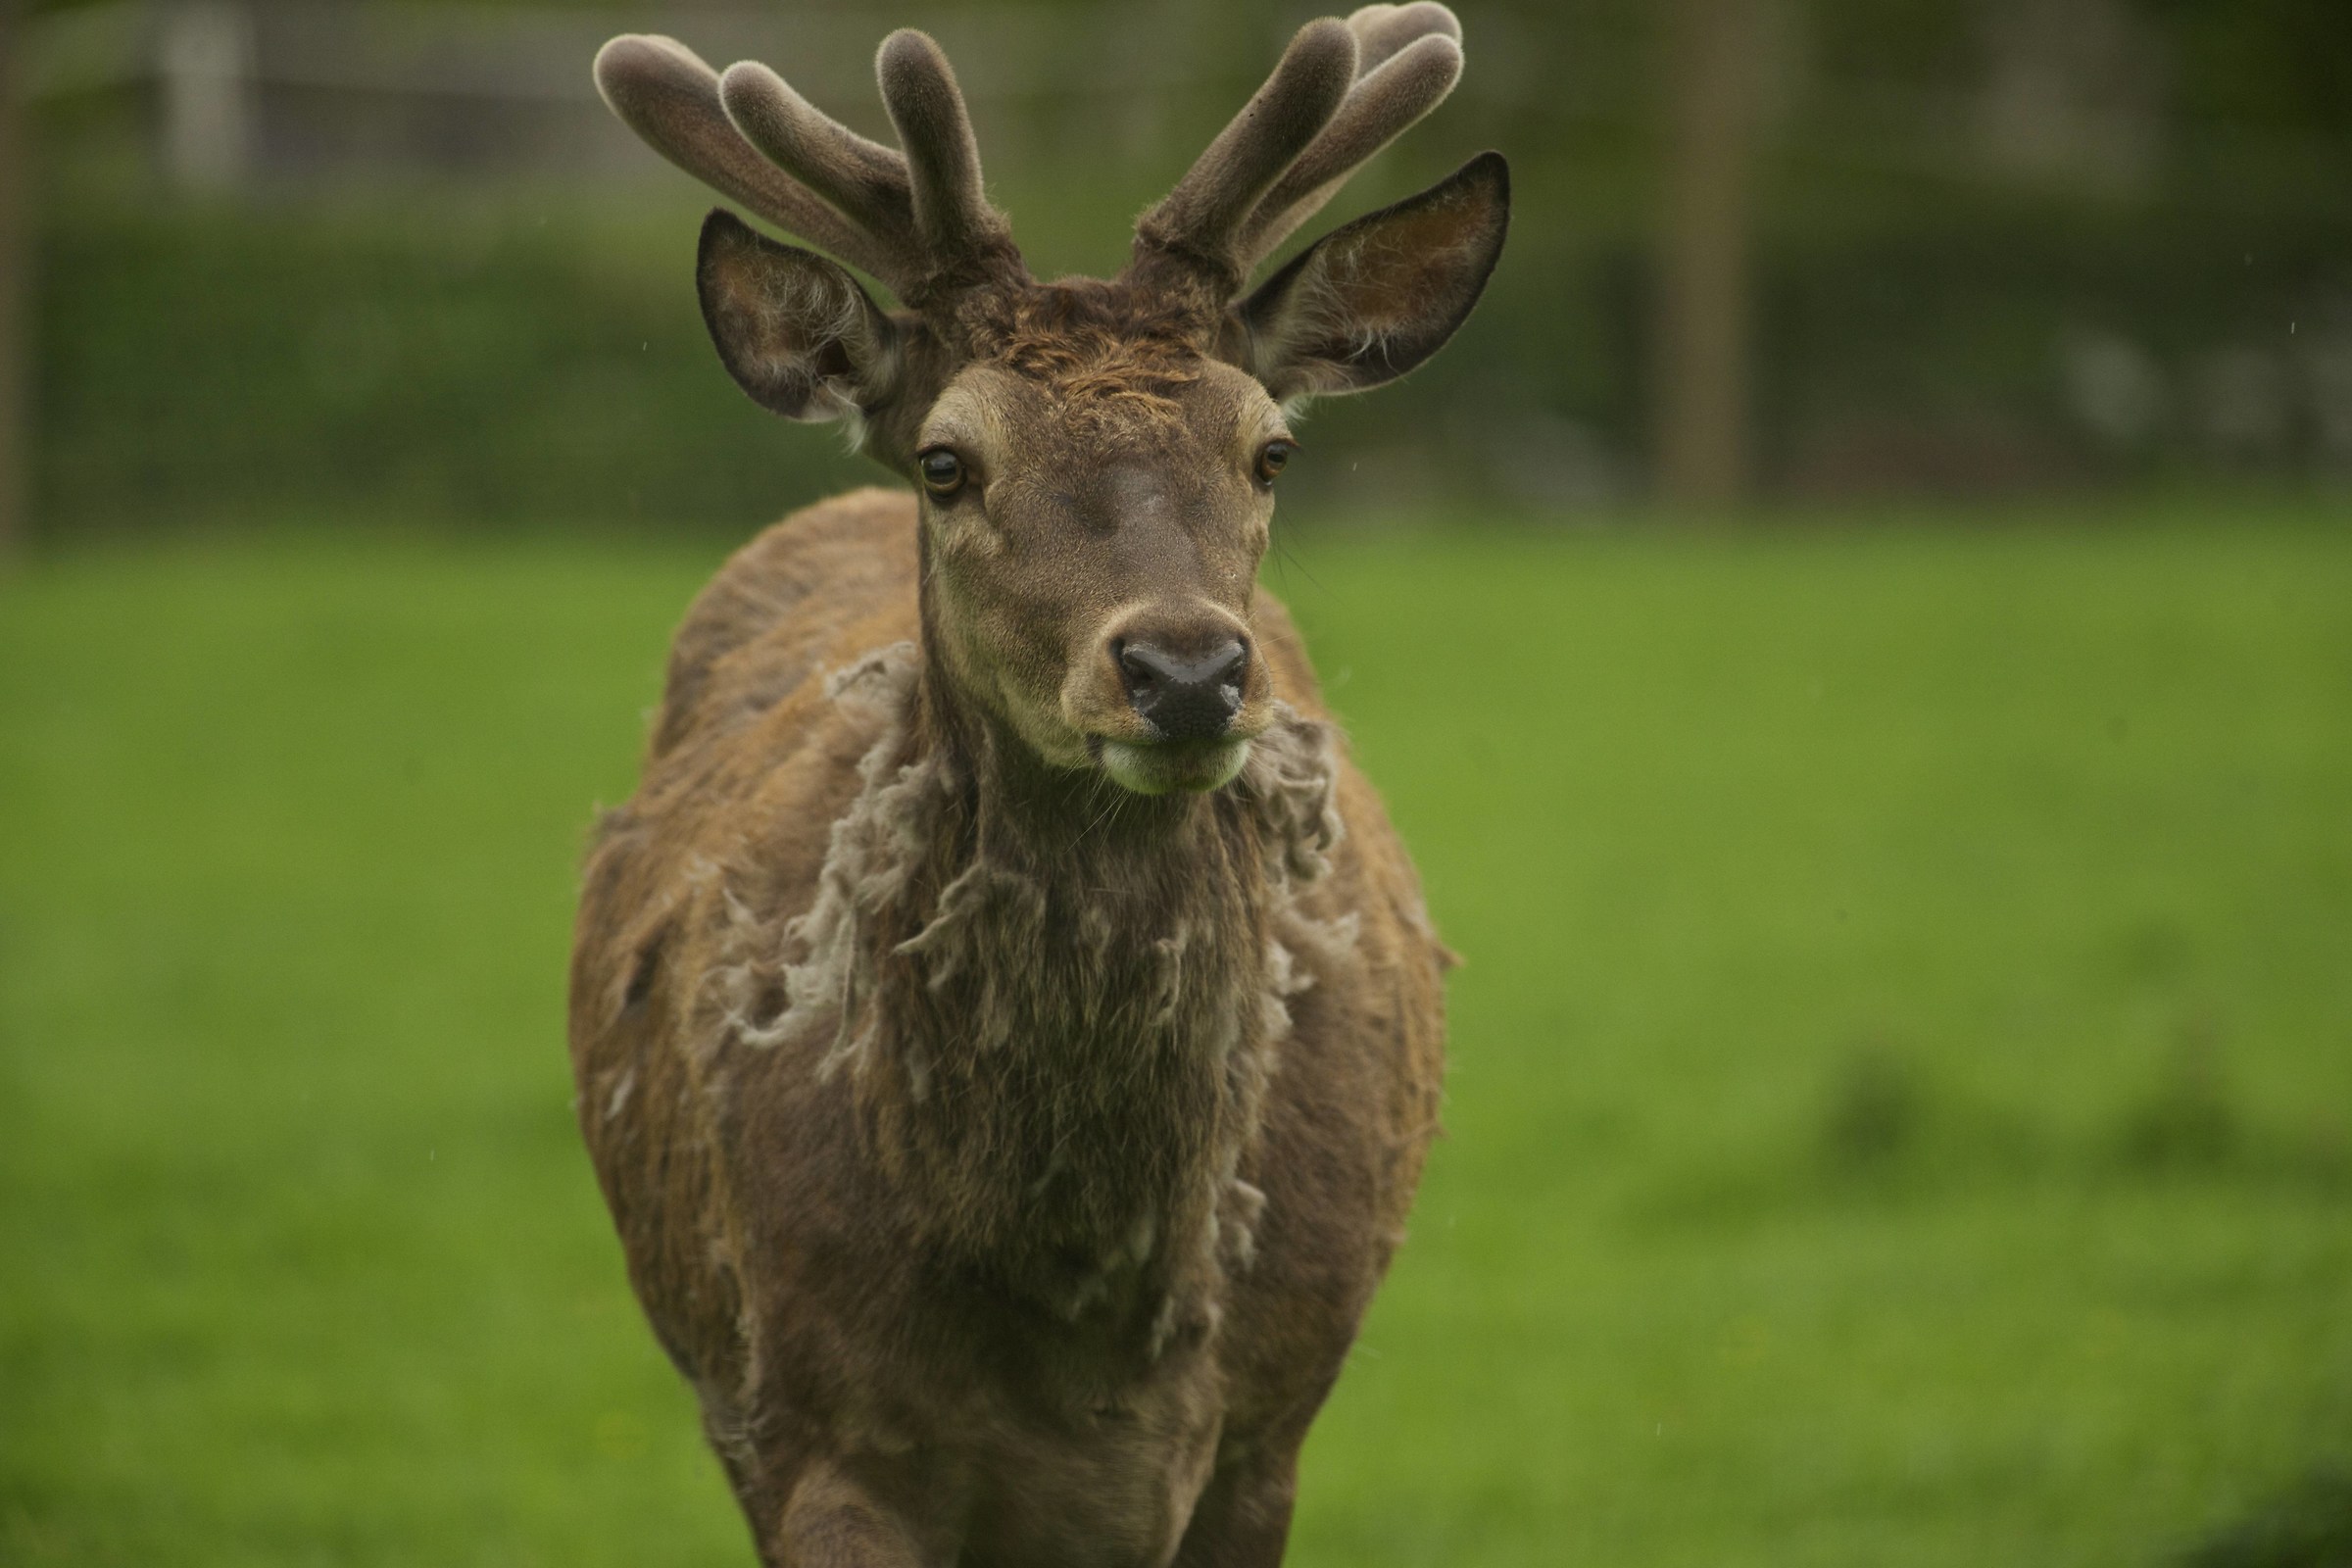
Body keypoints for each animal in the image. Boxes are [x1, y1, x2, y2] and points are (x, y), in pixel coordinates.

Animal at [568, 7, 1505, 1563]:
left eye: (1270, 448)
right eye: (951, 460)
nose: (1185, 669)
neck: (1086, 1310)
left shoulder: (1261, 1440)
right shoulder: (811, 1431)